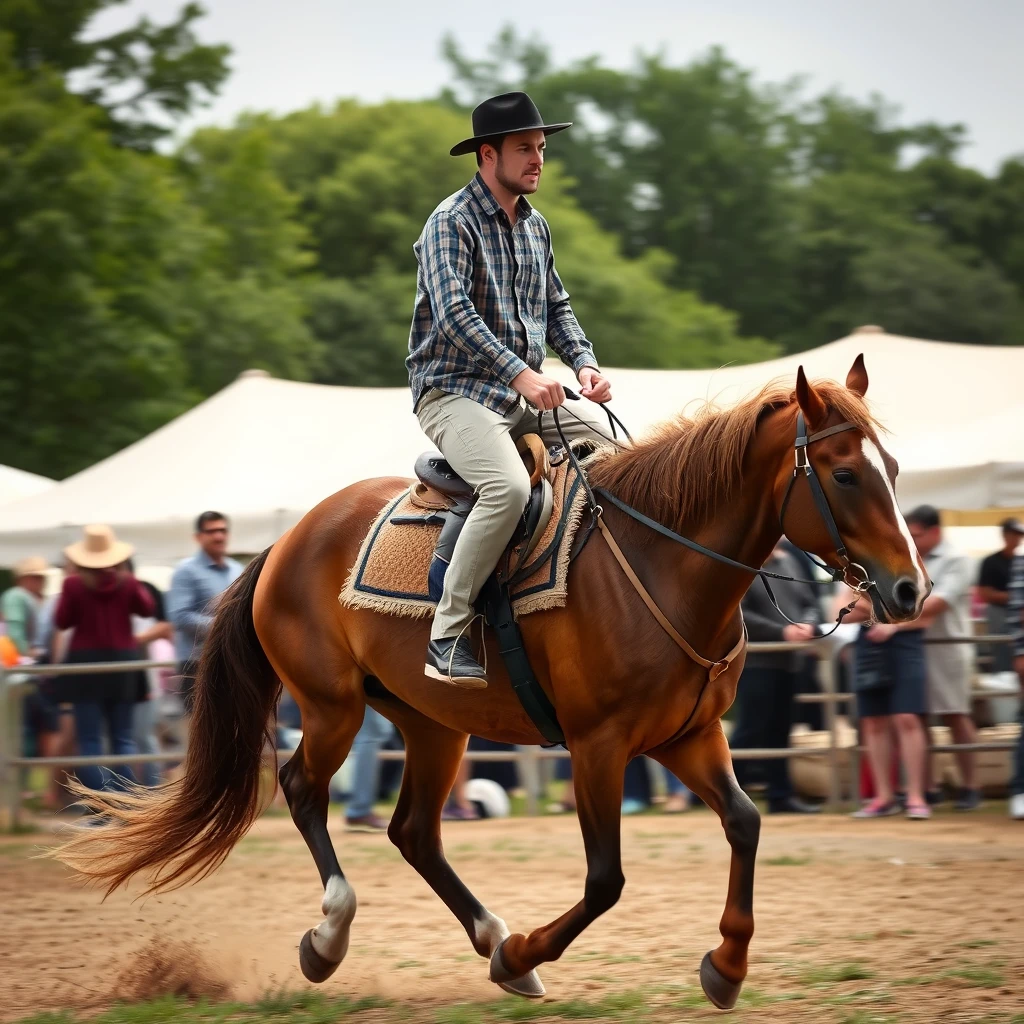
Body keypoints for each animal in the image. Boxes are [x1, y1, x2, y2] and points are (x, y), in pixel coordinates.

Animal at [56, 358, 929, 1007]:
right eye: (845, 476)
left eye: (890, 467)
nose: (909, 590)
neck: (659, 563)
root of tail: (287, 541)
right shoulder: (599, 746)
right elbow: (606, 880)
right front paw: (523, 954)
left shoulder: (689, 735)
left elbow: (745, 824)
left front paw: (726, 965)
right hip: (334, 708)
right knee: (304, 788)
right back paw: (334, 936)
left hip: (432, 723)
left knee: (414, 831)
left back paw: (486, 934)